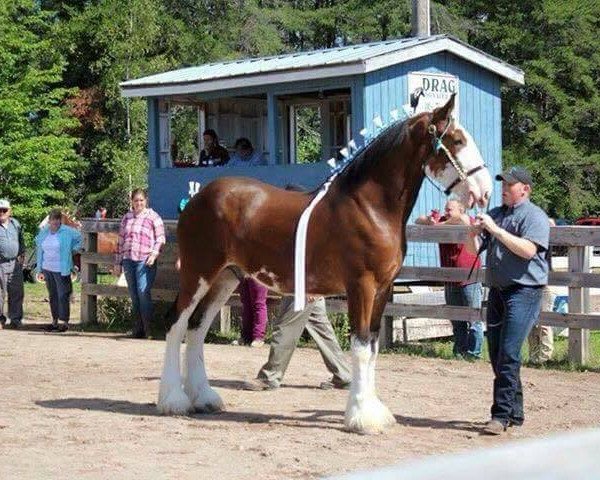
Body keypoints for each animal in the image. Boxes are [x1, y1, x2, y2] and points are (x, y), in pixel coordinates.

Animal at [156, 94, 492, 436]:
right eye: (457, 140)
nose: (485, 190)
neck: (370, 207)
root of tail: (197, 199)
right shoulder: (361, 286)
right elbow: (360, 346)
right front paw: (359, 416)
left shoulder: (383, 289)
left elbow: (372, 346)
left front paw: (373, 411)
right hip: (198, 273)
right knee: (176, 324)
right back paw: (174, 400)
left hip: (226, 277)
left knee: (197, 328)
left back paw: (204, 397)